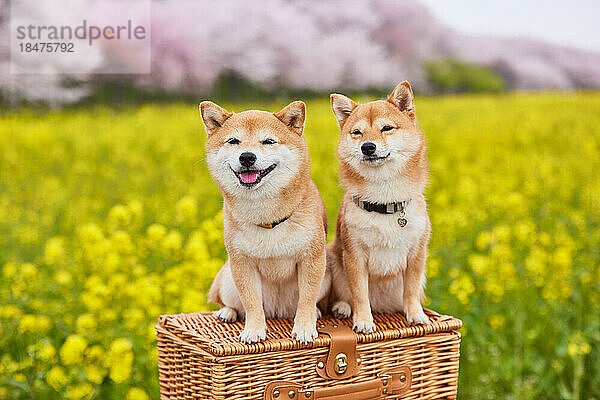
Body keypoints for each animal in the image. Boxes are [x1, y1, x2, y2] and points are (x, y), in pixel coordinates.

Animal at [200, 100, 328, 344]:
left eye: (268, 141)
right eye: (233, 141)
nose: (247, 157)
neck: (267, 217)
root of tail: (277, 311)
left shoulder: (312, 258)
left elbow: (307, 299)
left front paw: (305, 328)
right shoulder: (242, 262)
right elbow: (251, 303)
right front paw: (254, 330)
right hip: (228, 279)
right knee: (228, 302)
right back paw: (226, 313)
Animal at [328, 82, 432, 334]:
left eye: (386, 128)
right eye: (357, 132)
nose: (368, 147)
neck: (383, 201)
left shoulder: (417, 254)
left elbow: (411, 291)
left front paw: (415, 315)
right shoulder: (354, 255)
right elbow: (360, 294)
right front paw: (364, 320)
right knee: (343, 296)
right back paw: (343, 307)